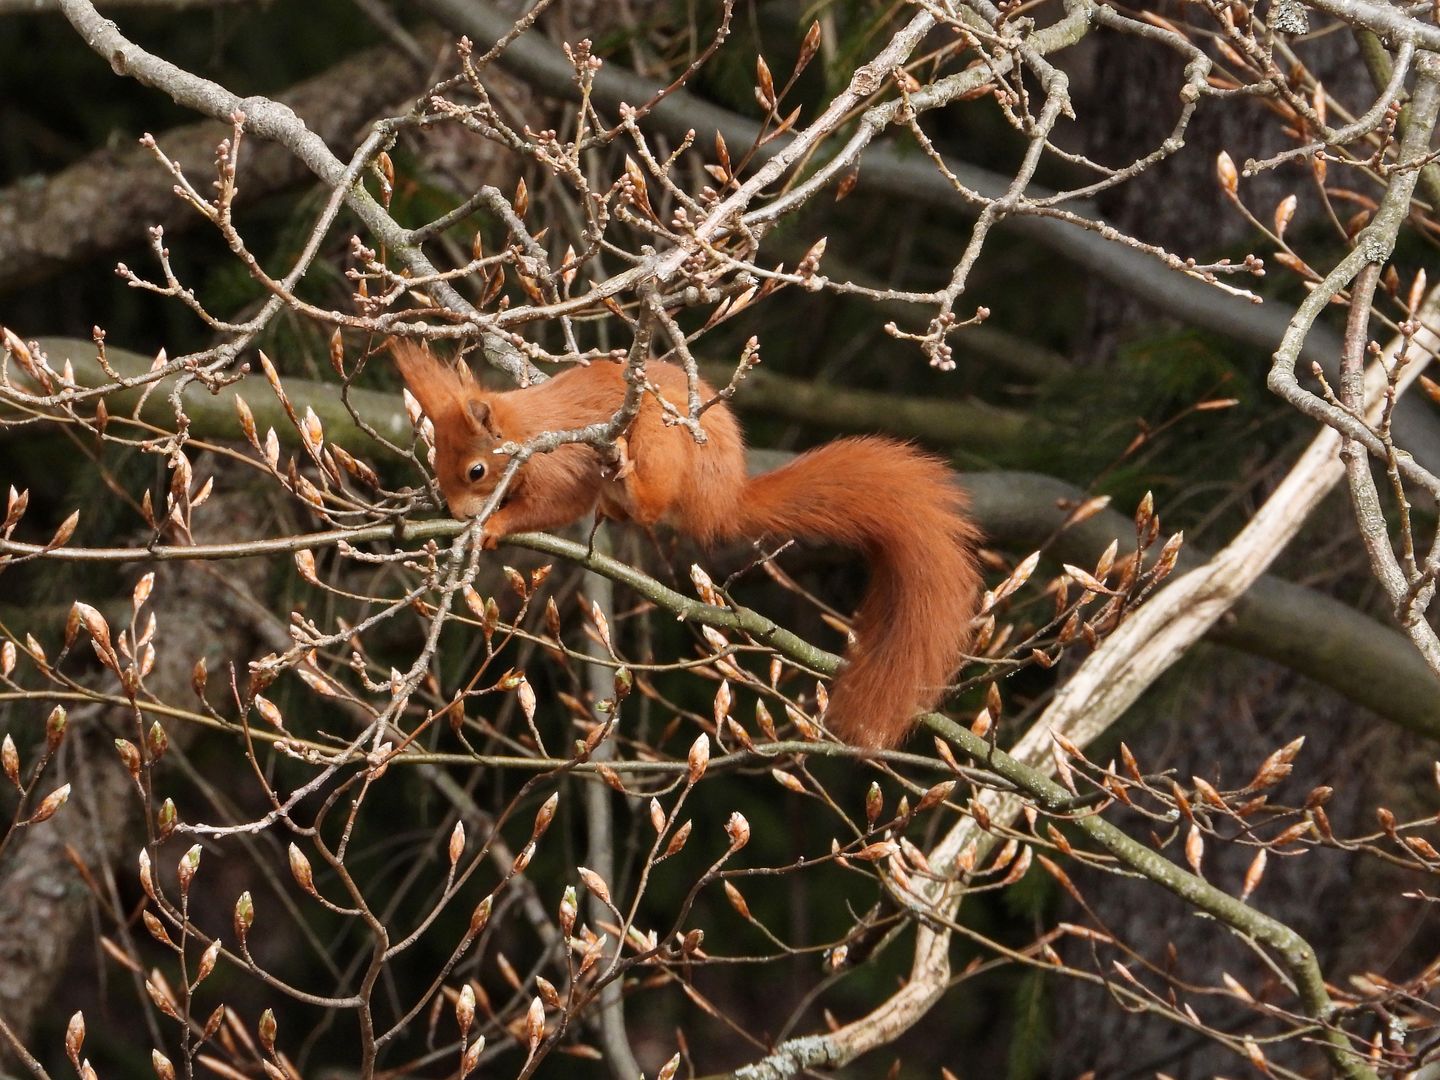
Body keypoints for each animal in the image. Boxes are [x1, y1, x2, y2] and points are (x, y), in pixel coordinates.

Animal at [391, 342, 979, 748]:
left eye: (476, 470)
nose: (455, 513)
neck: (527, 428)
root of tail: (724, 498)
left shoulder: (560, 465)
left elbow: (551, 505)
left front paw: (494, 525)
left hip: (661, 435)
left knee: (652, 503)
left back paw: (627, 481)